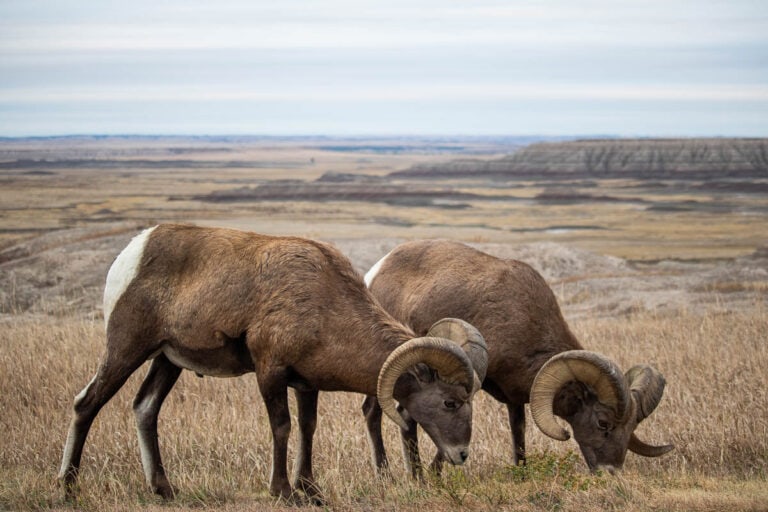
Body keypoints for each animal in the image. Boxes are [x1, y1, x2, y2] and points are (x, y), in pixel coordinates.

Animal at [58, 225, 486, 504]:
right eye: (449, 402)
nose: (462, 455)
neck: (324, 302)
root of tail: (131, 254)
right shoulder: (270, 373)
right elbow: (282, 427)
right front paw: (282, 491)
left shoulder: (306, 385)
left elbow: (308, 429)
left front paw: (310, 490)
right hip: (127, 350)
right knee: (87, 404)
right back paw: (68, 487)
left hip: (167, 361)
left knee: (145, 409)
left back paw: (164, 490)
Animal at [364, 240, 668, 476]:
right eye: (603, 423)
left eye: (630, 428)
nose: (611, 473)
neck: (525, 322)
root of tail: (376, 271)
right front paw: (432, 476)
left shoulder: (515, 400)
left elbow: (518, 434)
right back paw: (389, 474)